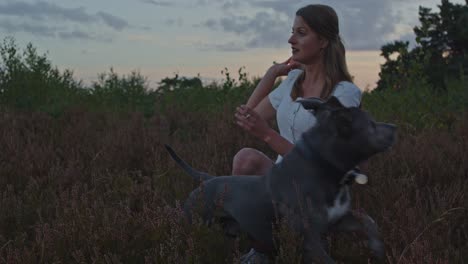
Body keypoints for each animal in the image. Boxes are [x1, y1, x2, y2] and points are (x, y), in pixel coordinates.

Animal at [165, 96, 394, 262]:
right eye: (371, 124)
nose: (394, 127)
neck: (323, 164)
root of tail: (206, 180)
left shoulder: (337, 220)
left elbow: (368, 222)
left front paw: (378, 249)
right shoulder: (310, 238)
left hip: (229, 232)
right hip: (192, 225)